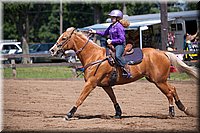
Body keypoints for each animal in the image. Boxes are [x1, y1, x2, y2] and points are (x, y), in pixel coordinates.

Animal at [49, 27, 197, 119]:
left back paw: (172, 112)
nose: (52, 50)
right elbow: (113, 98)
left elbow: (80, 98)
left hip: (159, 81)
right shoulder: (106, 85)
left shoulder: (91, 83)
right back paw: (183, 108)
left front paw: (69, 114)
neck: (94, 56)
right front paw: (118, 113)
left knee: (170, 92)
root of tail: (162, 52)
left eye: (64, 38)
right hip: (158, 80)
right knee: (173, 89)